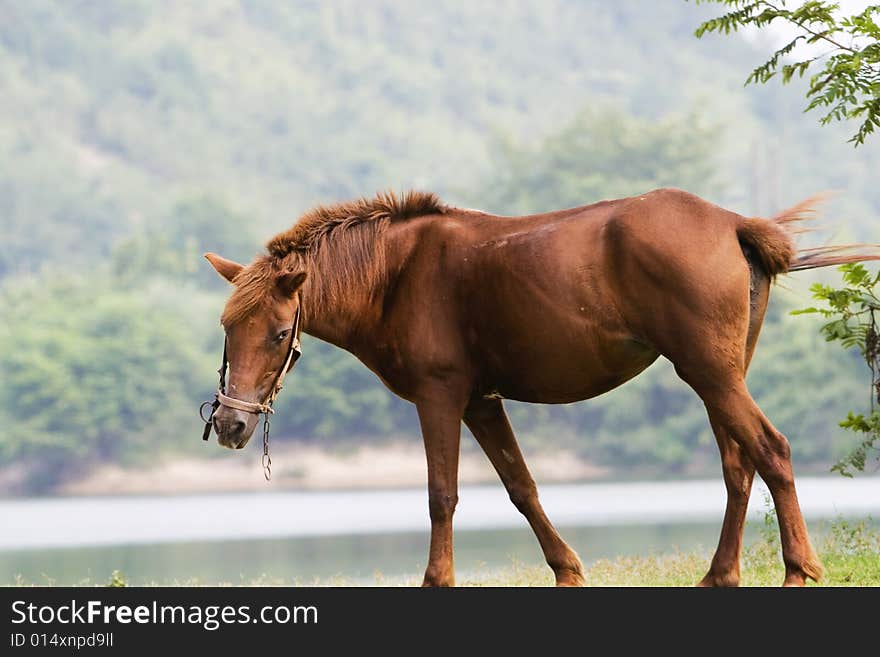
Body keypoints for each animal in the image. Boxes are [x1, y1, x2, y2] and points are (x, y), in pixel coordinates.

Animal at [205, 187, 880, 588]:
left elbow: (442, 496)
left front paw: (437, 580)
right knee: (739, 465)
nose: (232, 425)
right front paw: (567, 572)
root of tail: (734, 222)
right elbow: (521, 488)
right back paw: (720, 577)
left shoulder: (440, 396)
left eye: (276, 334)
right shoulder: (482, 402)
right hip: (720, 376)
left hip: (709, 374)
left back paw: (798, 571)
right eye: (227, 328)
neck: (397, 274)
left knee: (772, 450)